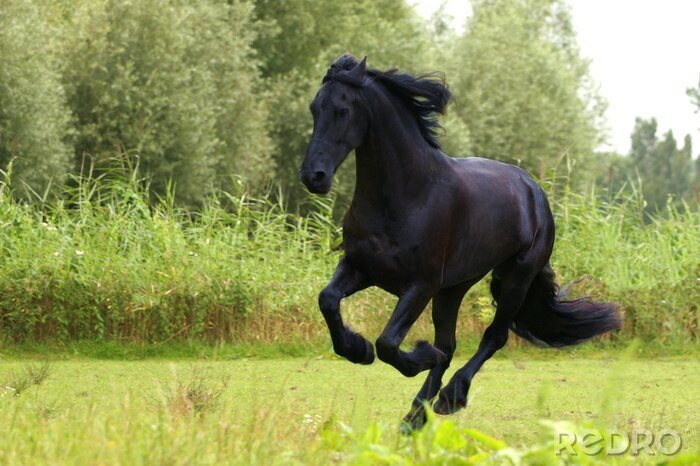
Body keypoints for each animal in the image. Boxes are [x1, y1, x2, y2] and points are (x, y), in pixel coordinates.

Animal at [299, 54, 621, 430]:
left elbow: (389, 343)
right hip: (453, 289)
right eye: (314, 108)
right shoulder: (361, 267)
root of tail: (533, 190)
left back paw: (450, 397)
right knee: (450, 344)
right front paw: (356, 349)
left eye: (342, 110)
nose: (314, 177)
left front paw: (417, 355)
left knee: (493, 336)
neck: (407, 194)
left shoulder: (420, 284)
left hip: (515, 278)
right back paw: (415, 416)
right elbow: (328, 301)